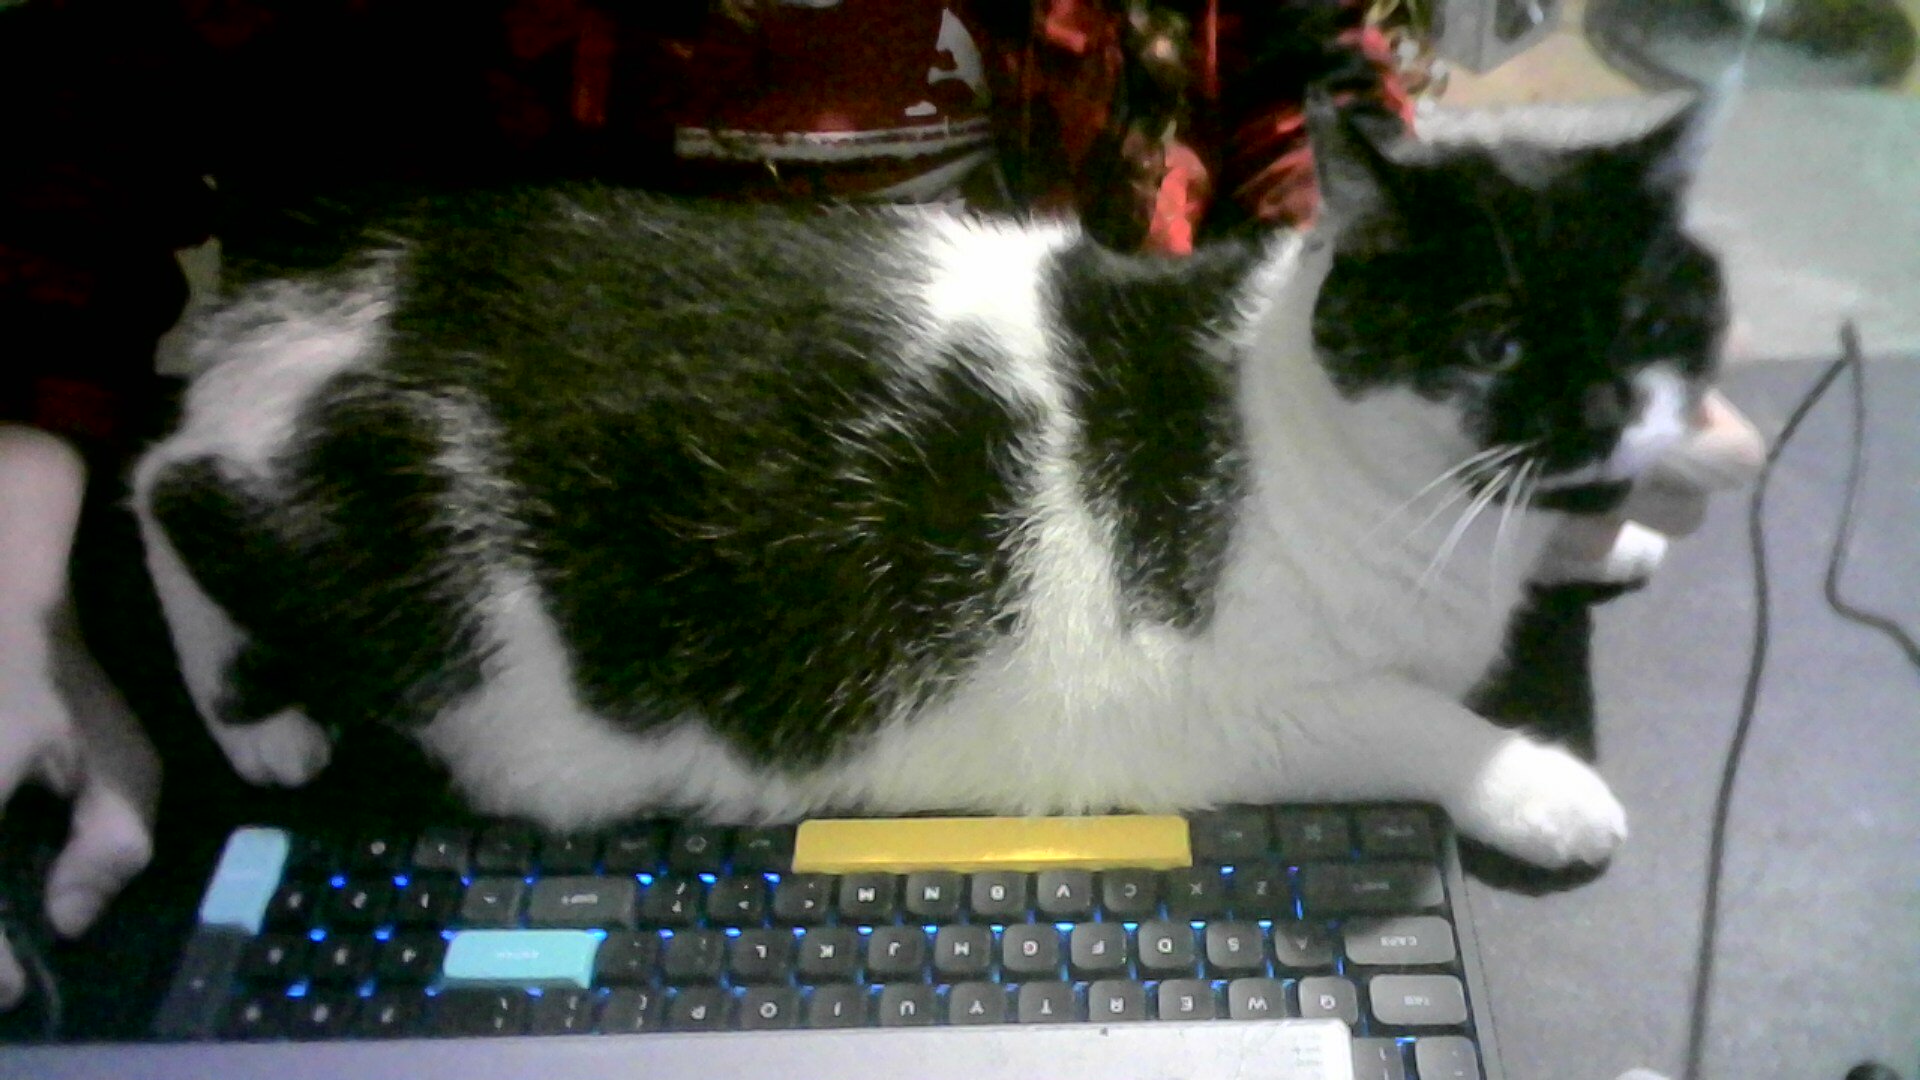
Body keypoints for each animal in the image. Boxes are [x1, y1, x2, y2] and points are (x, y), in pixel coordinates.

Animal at [129, 93, 1728, 870]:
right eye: (1494, 337)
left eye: (1655, 325)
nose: (1599, 414)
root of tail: (333, 281)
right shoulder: (1234, 708)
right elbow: (1418, 720)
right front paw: (1544, 788)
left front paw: (1618, 534)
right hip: (355, 545)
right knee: (161, 482)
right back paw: (260, 724)